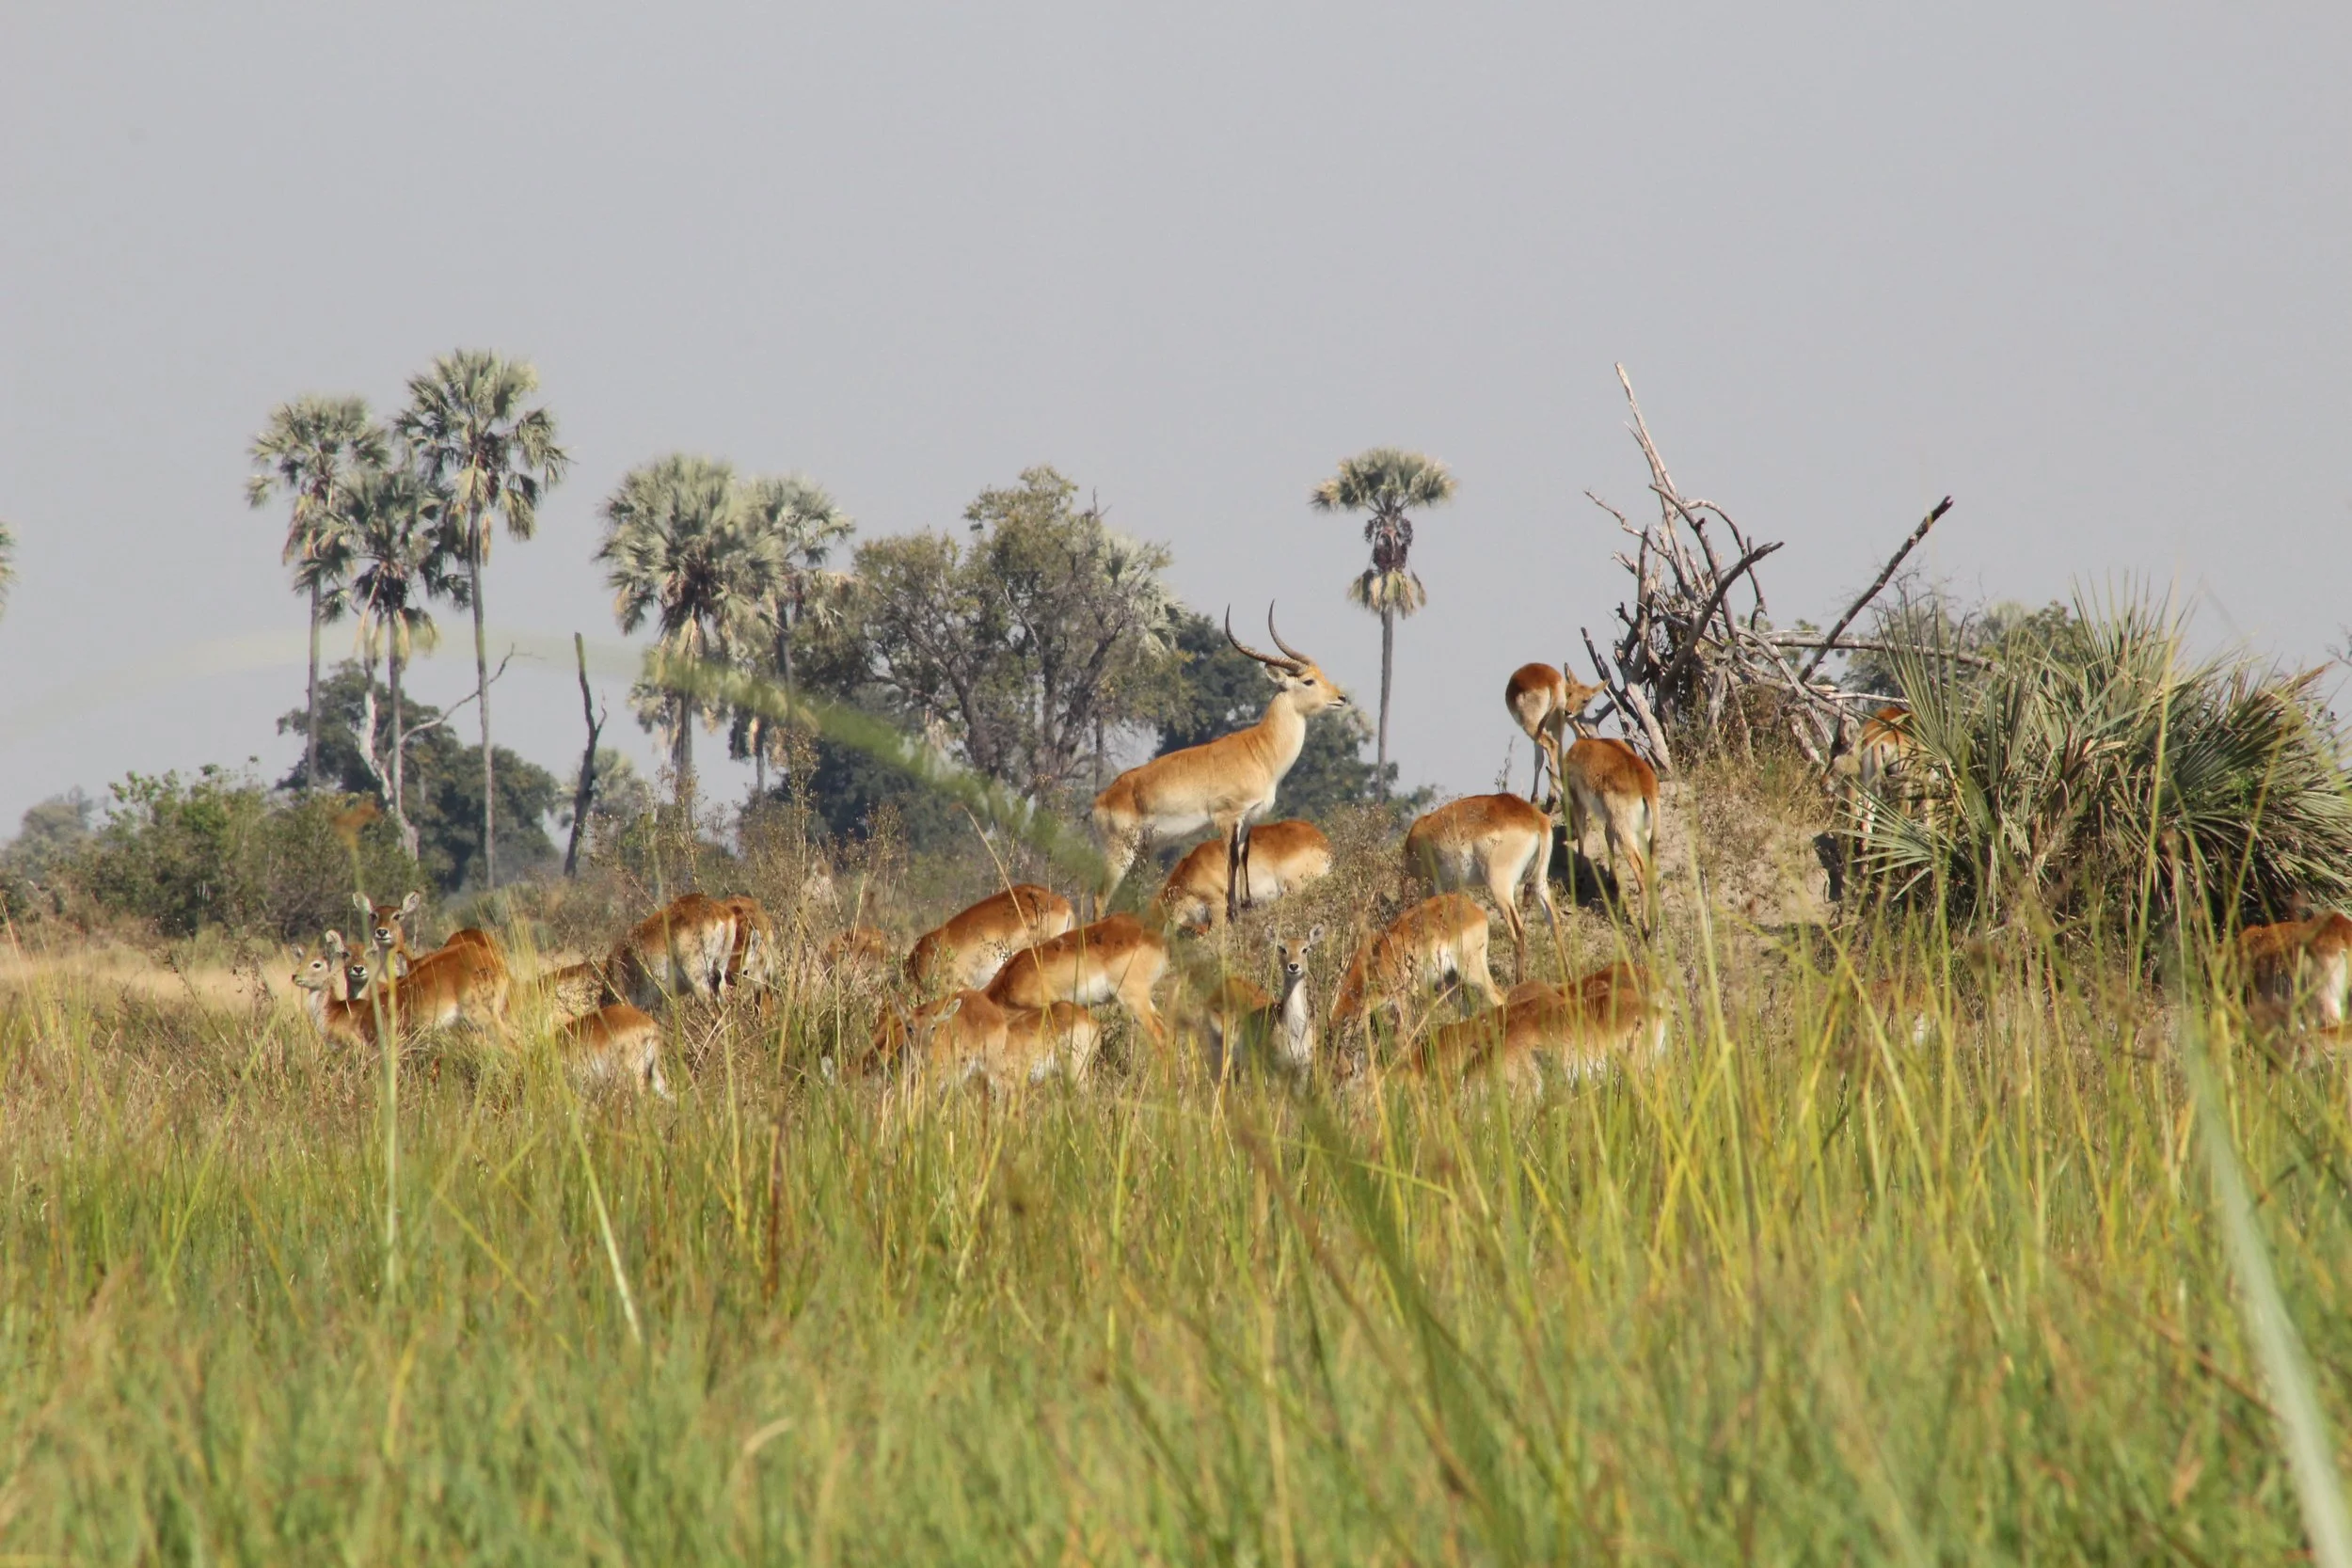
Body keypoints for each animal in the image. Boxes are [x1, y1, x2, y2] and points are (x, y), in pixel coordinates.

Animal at [1093, 607, 1348, 921]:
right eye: (1308, 680)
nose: (1341, 697)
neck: (1260, 750)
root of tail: (1102, 799)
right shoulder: (1228, 818)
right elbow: (1231, 862)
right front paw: (1232, 914)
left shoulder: (1249, 819)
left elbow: (1244, 859)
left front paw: (1246, 908)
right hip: (1120, 853)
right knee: (1099, 898)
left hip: (1142, 851)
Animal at [1504, 663, 1602, 800]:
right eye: (1571, 694)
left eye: (1586, 700)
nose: (1570, 711)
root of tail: (1551, 680)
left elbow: (1538, 760)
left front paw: (1534, 797)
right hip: (1559, 722)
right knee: (1576, 738)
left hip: (1533, 727)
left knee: (1552, 745)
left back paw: (1551, 796)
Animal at [1553, 728, 1660, 930]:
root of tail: (1645, 788)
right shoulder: (1609, 821)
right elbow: (1607, 837)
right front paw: (1611, 879)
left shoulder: (1579, 803)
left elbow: (1583, 834)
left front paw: (1579, 878)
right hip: (1646, 836)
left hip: (1625, 834)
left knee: (1639, 866)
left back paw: (1645, 927)